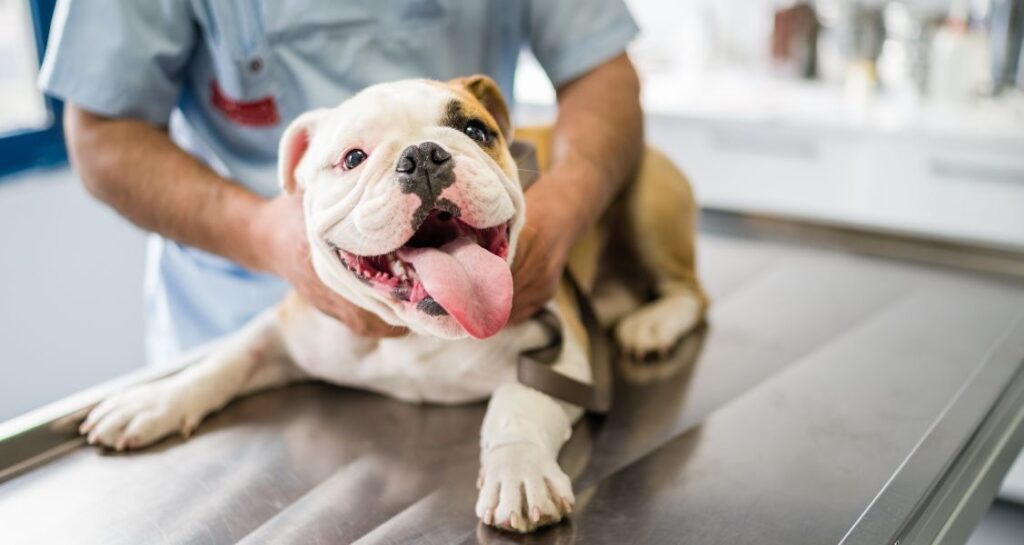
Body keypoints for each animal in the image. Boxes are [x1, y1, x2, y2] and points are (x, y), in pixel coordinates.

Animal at [79, 75, 708, 532]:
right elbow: (228, 359)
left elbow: (517, 404)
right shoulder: (288, 330)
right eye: (353, 158)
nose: (424, 155)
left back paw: (653, 325)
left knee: (691, 292)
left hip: (646, 198)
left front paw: (518, 470)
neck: (416, 332)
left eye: (475, 131)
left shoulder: (562, 348)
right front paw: (156, 399)